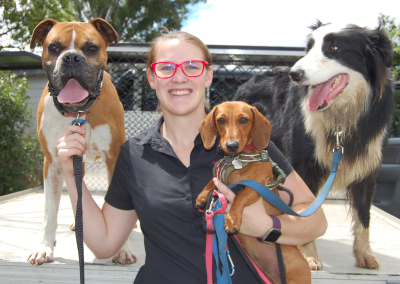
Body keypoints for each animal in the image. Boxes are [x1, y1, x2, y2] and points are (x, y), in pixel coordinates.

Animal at [27, 18, 136, 266]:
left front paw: (123, 249)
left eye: (91, 48)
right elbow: (49, 211)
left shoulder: (114, 159)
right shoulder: (53, 162)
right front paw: (44, 247)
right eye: (53, 47)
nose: (71, 58)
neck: (78, 112)